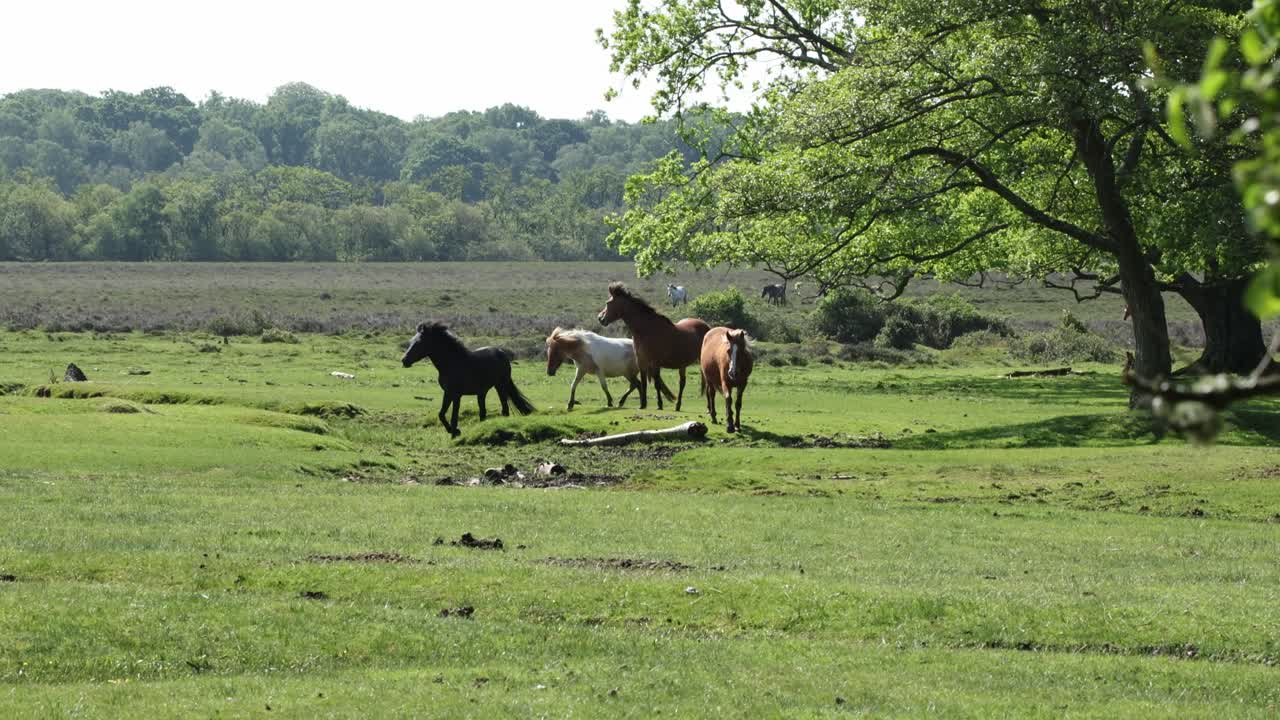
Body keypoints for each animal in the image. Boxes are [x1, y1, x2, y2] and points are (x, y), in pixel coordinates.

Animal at [401, 321, 534, 437]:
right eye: (411, 341)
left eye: (419, 343)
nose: (404, 361)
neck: (452, 363)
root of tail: (502, 353)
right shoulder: (448, 393)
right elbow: (441, 414)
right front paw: (453, 431)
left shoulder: (456, 395)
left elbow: (454, 417)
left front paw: (455, 433)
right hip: (482, 392)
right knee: (483, 412)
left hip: (500, 386)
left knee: (504, 409)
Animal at [598, 282, 709, 411]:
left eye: (608, 303)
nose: (600, 318)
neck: (647, 329)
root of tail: (707, 326)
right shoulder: (641, 362)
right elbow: (644, 382)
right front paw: (642, 404)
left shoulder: (655, 363)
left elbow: (656, 384)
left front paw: (659, 405)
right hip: (682, 364)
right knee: (682, 383)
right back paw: (678, 406)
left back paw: (708, 408)